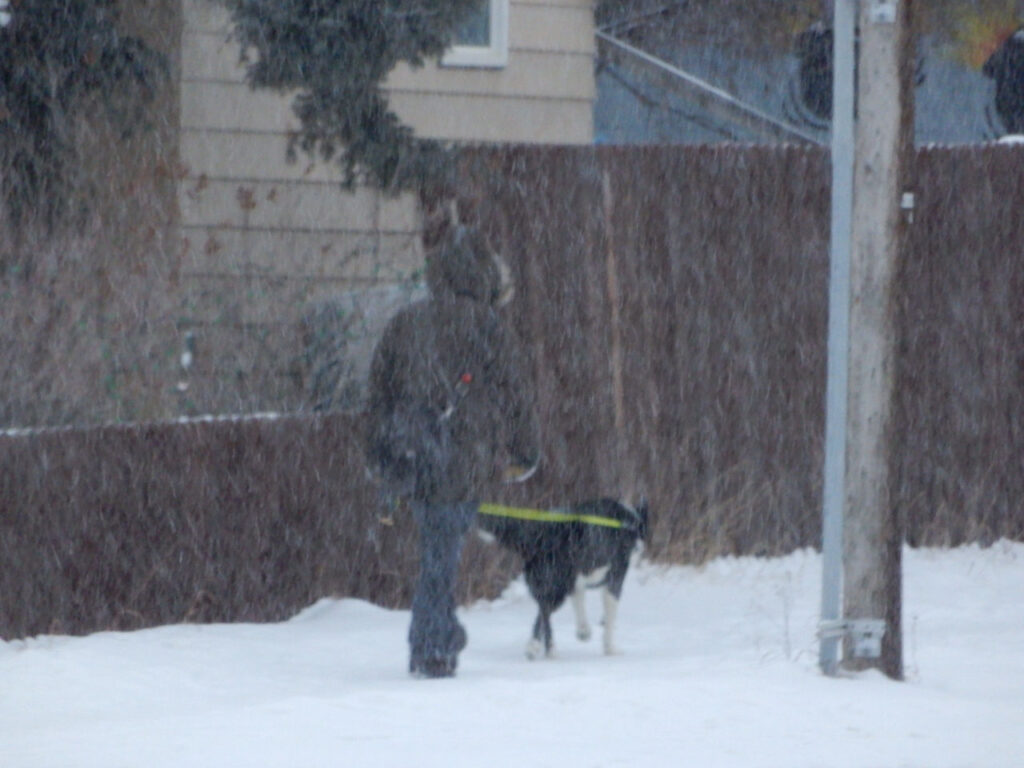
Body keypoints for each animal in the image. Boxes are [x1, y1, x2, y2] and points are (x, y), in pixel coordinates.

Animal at [477, 499, 647, 663]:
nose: (639, 549)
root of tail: (540, 533)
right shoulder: (614, 580)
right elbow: (609, 617)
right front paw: (609, 648)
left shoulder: (579, 580)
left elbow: (579, 601)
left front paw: (583, 631)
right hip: (559, 586)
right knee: (546, 612)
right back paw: (551, 651)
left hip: (549, 584)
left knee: (542, 611)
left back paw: (534, 647)